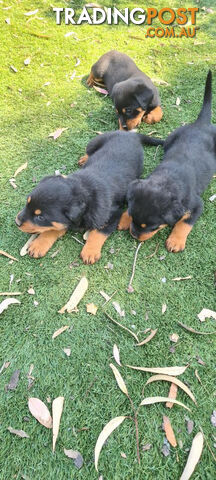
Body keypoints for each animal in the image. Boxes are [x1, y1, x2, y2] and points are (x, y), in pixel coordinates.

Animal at [15, 131, 164, 264]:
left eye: (40, 217)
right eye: (27, 203)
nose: (17, 222)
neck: (83, 190)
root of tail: (131, 134)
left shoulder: (113, 214)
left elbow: (98, 233)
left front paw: (90, 252)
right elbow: (54, 228)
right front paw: (39, 244)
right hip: (94, 142)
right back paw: (84, 159)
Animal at [119, 70, 215, 255]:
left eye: (152, 226)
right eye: (133, 217)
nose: (134, 235)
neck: (166, 181)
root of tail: (202, 123)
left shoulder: (196, 204)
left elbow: (184, 223)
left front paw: (175, 241)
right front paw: (123, 219)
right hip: (172, 136)